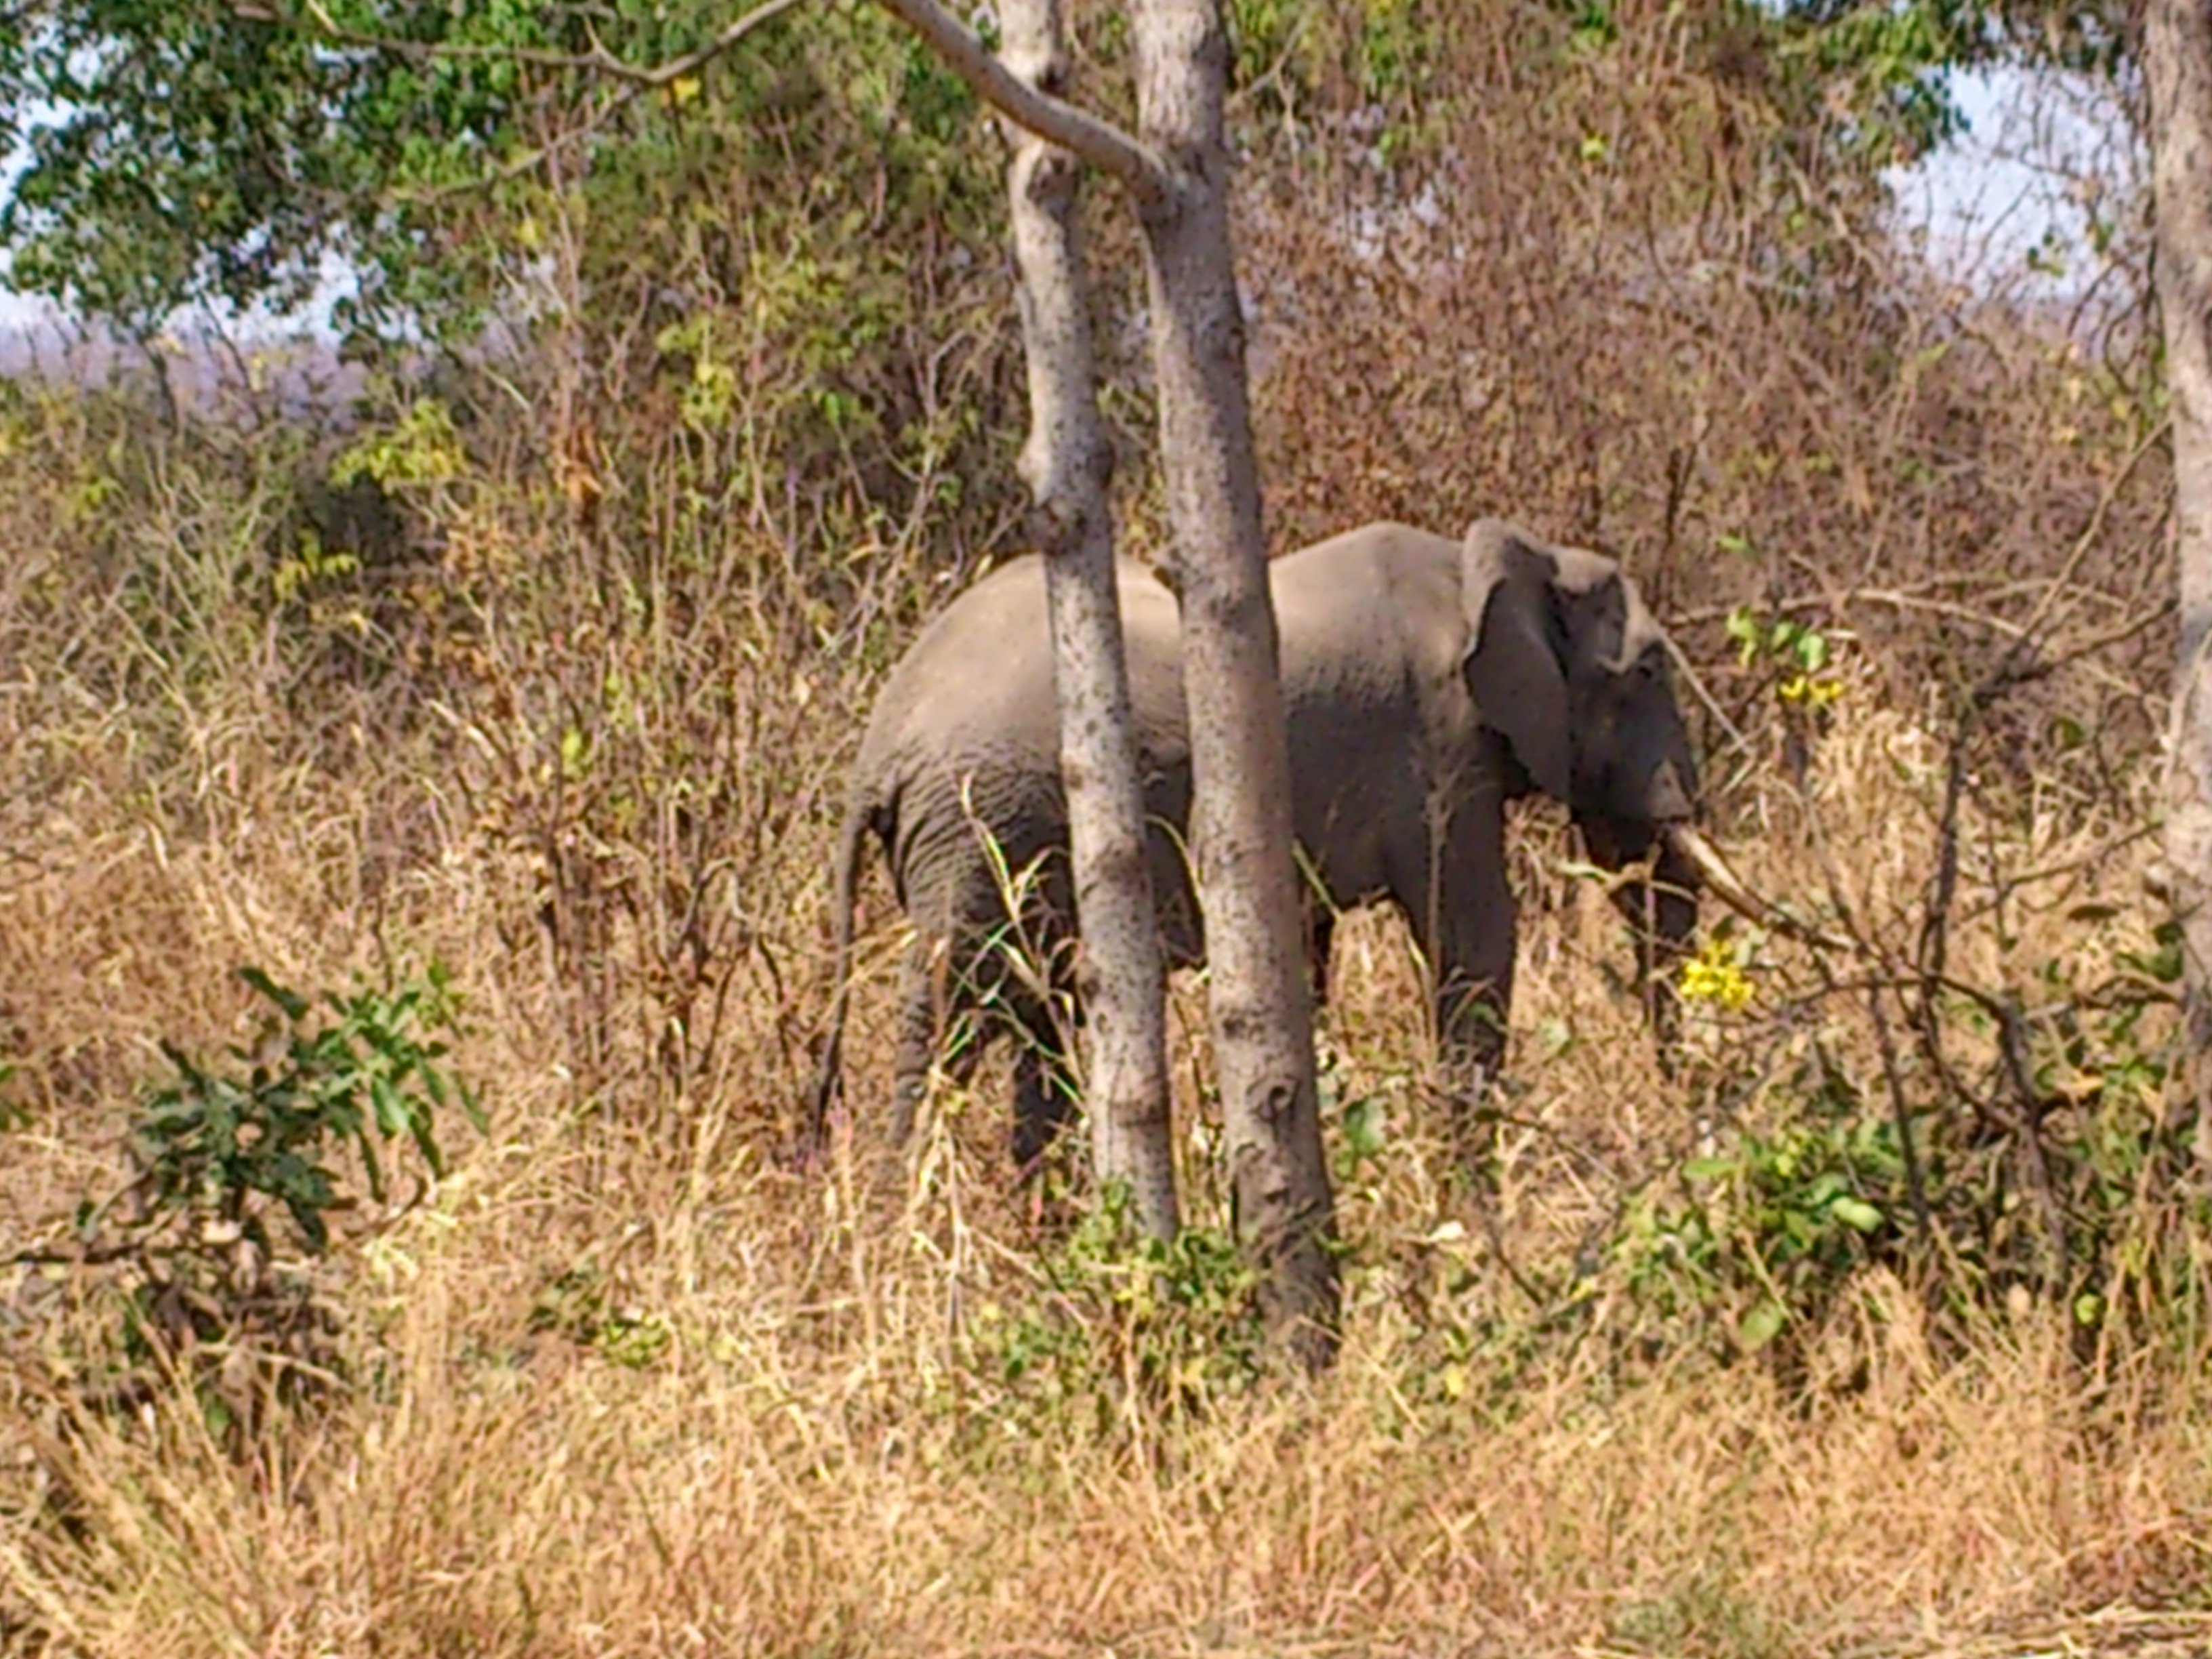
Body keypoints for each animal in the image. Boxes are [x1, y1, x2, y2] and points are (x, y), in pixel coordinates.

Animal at [809, 517, 1734, 1170]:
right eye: (1648, 671)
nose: (1685, 1111)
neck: (1498, 560)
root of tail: (879, 750)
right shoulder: (1440, 749)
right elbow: (1472, 936)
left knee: (1044, 1017)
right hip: (979, 830)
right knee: (950, 1015)